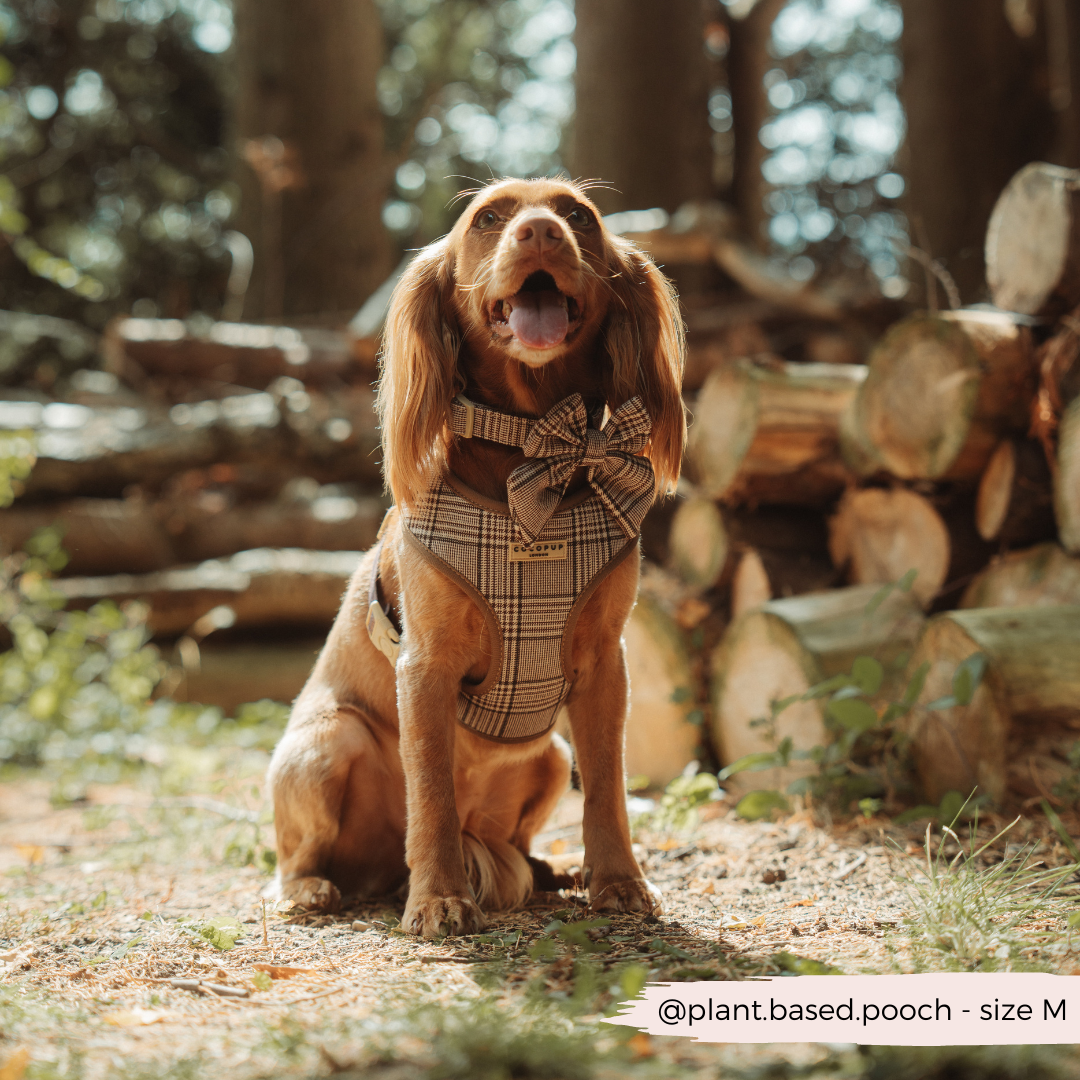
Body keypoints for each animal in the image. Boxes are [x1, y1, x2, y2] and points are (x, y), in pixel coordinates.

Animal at [266, 177, 682, 937]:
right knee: (298, 857)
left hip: (548, 757)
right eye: (488, 218)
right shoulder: (425, 667)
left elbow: (607, 788)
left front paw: (618, 882)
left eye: (579, 215)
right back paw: (312, 890)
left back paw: (551, 873)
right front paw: (437, 900)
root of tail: (374, 873)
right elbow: (431, 794)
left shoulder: (606, 665)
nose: (541, 232)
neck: (533, 457)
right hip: (326, 742)